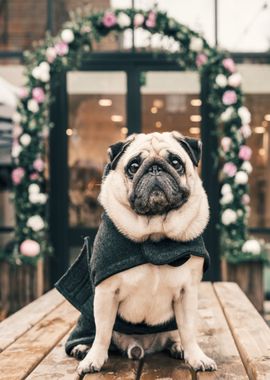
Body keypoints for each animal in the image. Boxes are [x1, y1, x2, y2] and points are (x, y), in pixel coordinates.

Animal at [73, 131, 216, 374]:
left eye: (176, 163)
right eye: (133, 166)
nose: (155, 168)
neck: (154, 232)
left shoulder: (187, 292)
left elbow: (188, 330)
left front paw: (196, 356)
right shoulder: (105, 293)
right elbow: (102, 333)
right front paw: (94, 358)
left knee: (176, 334)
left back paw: (178, 347)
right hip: (88, 316)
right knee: (97, 333)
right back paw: (83, 347)